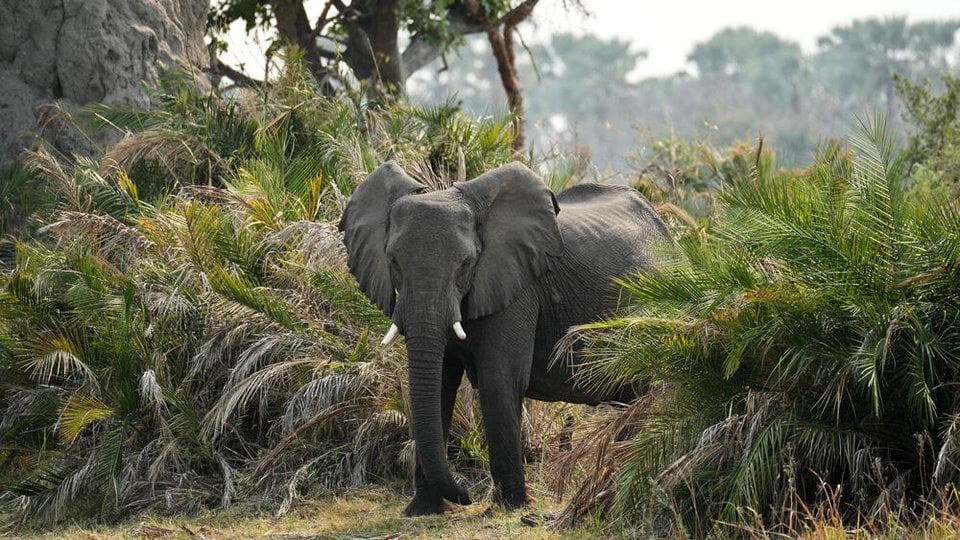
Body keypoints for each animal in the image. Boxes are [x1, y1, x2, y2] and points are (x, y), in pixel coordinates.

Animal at [338, 160, 672, 516]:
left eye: (467, 264)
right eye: (393, 262)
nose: (466, 495)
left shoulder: (518, 287)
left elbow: (499, 380)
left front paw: (509, 508)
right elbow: (439, 386)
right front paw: (422, 511)